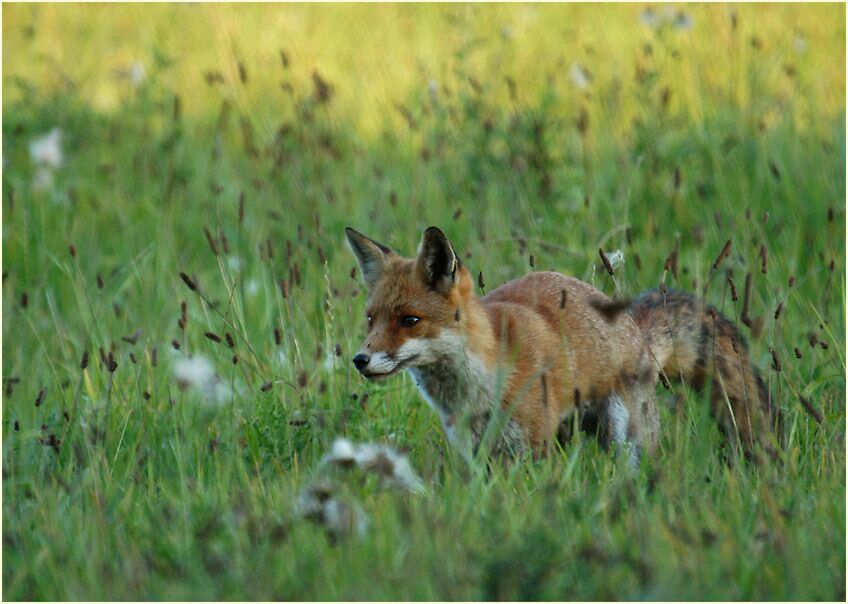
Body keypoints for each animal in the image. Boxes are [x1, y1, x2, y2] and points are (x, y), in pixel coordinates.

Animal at [345, 225, 781, 467]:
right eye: (371, 319)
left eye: (409, 320)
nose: (360, 359)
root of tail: (632, 326)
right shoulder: (474, 452)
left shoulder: (531, 449)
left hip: (626, 438)